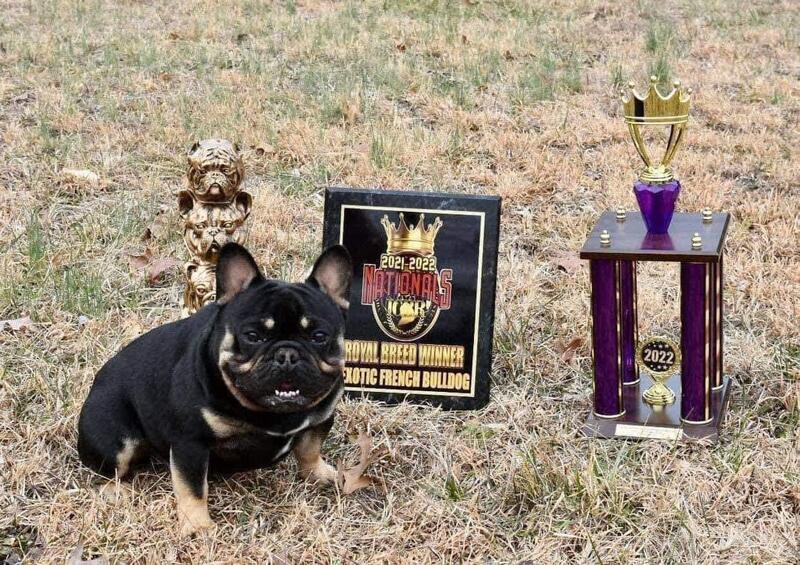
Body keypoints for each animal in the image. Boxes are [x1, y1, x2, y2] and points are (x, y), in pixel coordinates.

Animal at [78, 243, 352, 536]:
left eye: (319, 336)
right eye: (253, 336)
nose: (287, 354)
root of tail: (95, 386)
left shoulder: (321, 419)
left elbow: (310, 449)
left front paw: (319, 474)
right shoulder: (190, 443)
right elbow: (193, 488)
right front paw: (198, 526)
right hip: (115, 440)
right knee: (109, 471)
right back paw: (117, 492)